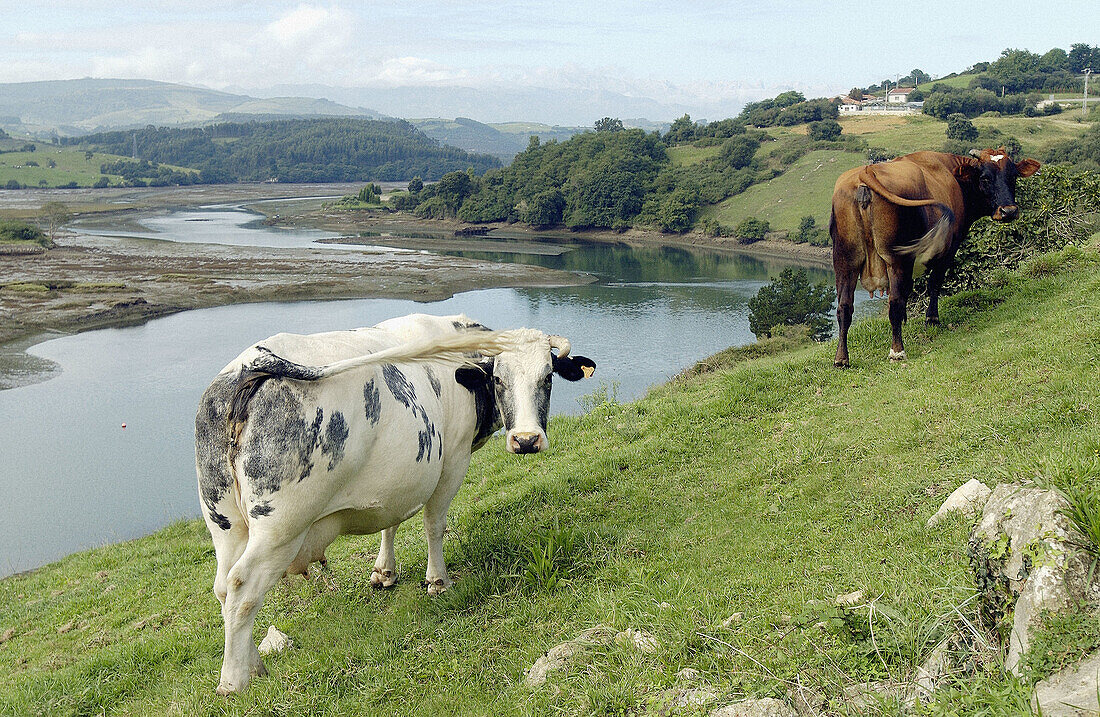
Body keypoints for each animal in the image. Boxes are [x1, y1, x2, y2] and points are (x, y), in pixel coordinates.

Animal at [193, 314, 598, 695]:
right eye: (499, 379)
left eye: (547, 379)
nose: (527, 440)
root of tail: (246, 368)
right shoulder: (453, 459)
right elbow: (434, 525)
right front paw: (437, 581)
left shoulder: (397, 478)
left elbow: (391, 521)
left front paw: (384, 571)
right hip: (280, 526)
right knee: (243, 587)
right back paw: (234, 680)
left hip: (224, 521)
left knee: (223, 587)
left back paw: (254, 664)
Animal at [831, 147, 1038, 367]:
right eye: (985, 178)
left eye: (1013, 176)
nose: (1009, 211)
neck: (953, 175)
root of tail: (866, 172)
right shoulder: (949, 249)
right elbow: (934, 284)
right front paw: (932, 319)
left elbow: (909, 290)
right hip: (897, 260)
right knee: (893, 302)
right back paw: (897, 351)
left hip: (845, 261)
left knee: (844, 307)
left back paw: (841, 358)